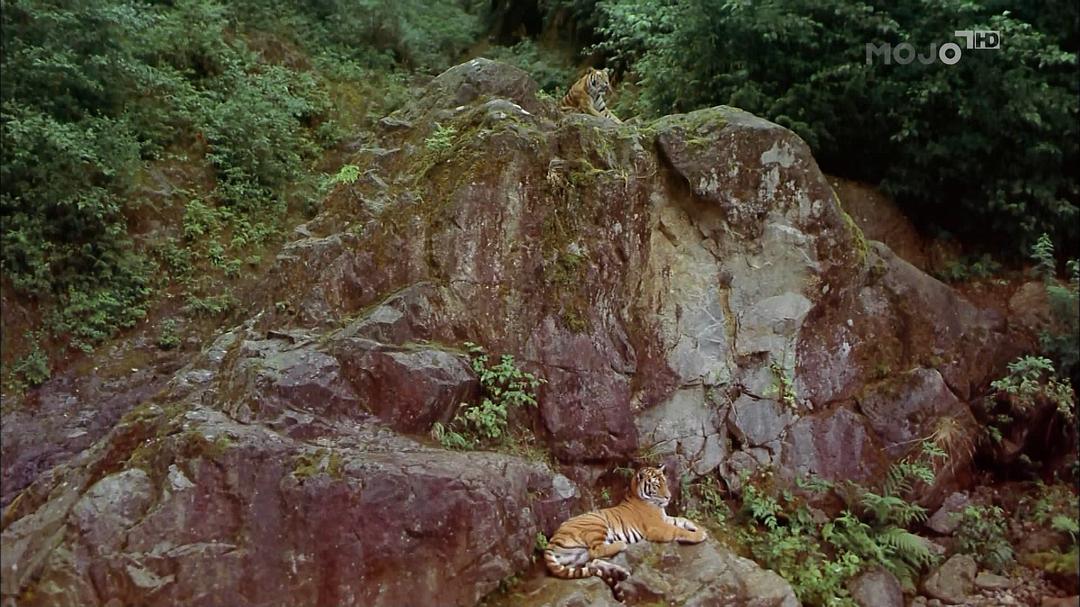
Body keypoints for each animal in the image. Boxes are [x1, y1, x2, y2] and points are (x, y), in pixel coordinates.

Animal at [542, 465, 707, 602]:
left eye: (665, 482)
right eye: (657, 485)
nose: (668, 497)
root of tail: (551, 541)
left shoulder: (665, 518)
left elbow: (682, 520)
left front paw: (699, 528)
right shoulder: (656, 527)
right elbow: (678, 530)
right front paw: (699, 535)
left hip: (577, 558)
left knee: (592, 562)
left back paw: (621, 572)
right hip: (596, 523)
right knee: (596, 551)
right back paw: (620, 546)